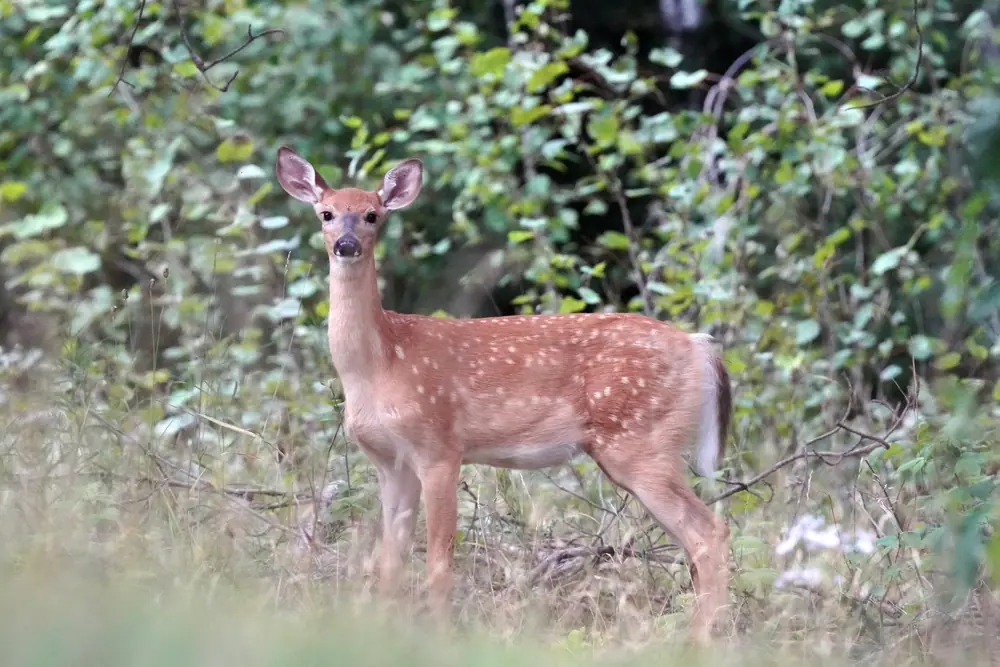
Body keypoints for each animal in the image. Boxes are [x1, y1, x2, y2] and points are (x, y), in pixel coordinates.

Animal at [274, 145, 734, 645]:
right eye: (326, 213)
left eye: (372, 215)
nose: (346, 244)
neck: (381, 364)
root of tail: (700, 347)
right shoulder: (390, 462)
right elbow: (389, 564)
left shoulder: (440, 446)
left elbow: (438, 564)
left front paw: (440, 638)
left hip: (641, 440)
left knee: (710, 532)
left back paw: (698, 640)